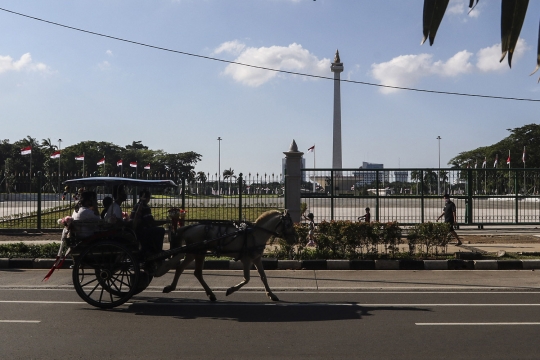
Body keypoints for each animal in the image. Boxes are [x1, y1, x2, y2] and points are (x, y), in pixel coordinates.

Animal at [162, 211, 298, 300]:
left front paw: (271, 294)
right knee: (192, 271)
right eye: (288, 224)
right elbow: (247, 279)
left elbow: (263, 277)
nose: (295, 239)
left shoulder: (257, 258)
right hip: (196, 252)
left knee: (185, 269)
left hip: (194, 253)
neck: (254, 234)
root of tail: (187, 228)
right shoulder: (246, 260)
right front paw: (230, 290)